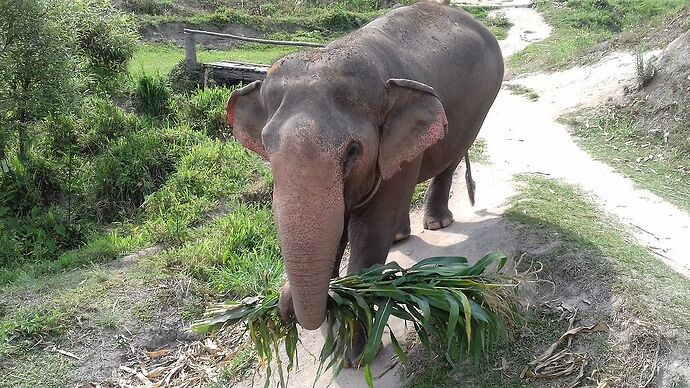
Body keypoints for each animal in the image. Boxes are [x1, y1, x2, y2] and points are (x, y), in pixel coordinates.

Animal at [226, 0, 500, 366]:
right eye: (267, 149)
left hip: (481, 105)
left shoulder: (394, 143)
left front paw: (354, 353)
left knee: (450, 158)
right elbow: (338, 224)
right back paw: (400, 236)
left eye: (352, 151)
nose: (284, 309)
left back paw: (436, 224)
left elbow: (370, 229)